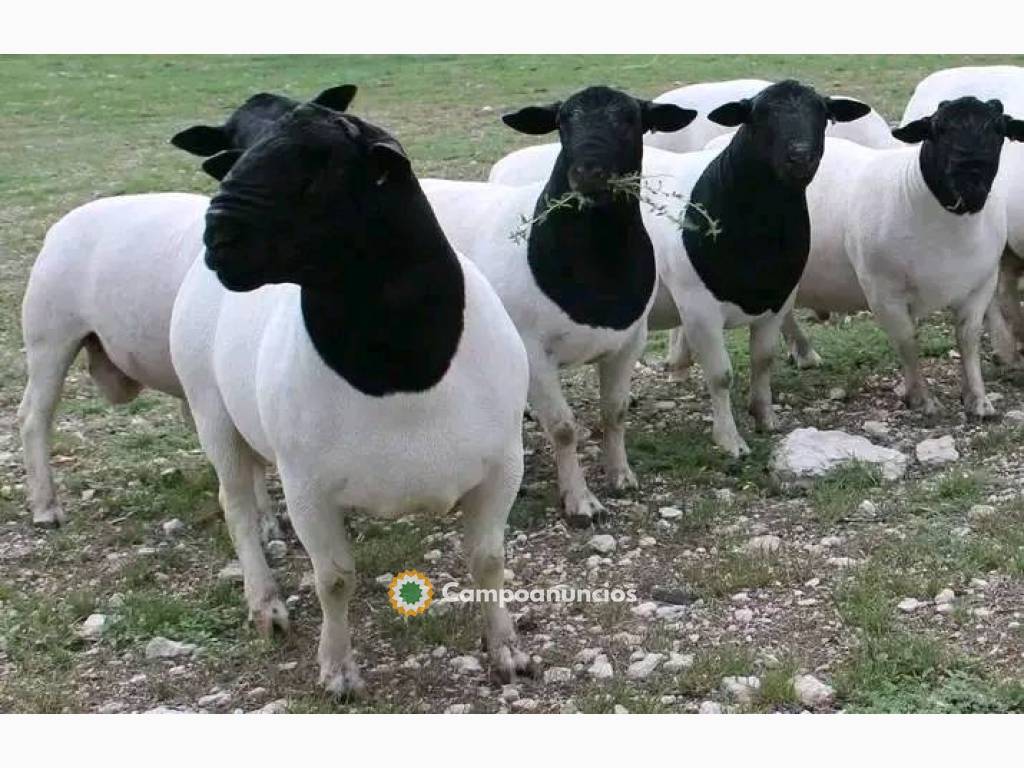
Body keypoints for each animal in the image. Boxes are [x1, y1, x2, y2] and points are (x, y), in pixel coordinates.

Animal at [18, 85, 356, 529]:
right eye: (236, 147)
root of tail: (61, 225)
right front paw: (265, 519)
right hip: (49, 336)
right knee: (33, 416)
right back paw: (45, 506)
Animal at [169, 104, 531, 694]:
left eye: (319, 172)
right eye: (239, 159)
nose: (217, 235)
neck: (400, 373)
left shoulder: (502, 466)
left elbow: (488, 560)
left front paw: (507, 650)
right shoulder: (307, 486)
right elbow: (335, 579)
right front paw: (338, 670)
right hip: (209, 409)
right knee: (236, 505)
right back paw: (265, 604)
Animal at [420, 86, 696, 524]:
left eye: (631, 120)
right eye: (563, 121)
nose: (588, 172)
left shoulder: (628, 342)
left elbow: (615, 411)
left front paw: (621, 475)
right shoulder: (534, 353)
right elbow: (564, 428)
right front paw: (580, 501)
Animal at [780, 98, 1024, 416]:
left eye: (999, 130)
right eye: (937, 130)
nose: (970, 183)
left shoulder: (980, 286)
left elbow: (968, 338)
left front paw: (978, 400)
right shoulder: (883, 293)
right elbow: (907, 340)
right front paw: (921, 398)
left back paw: (804, 354)